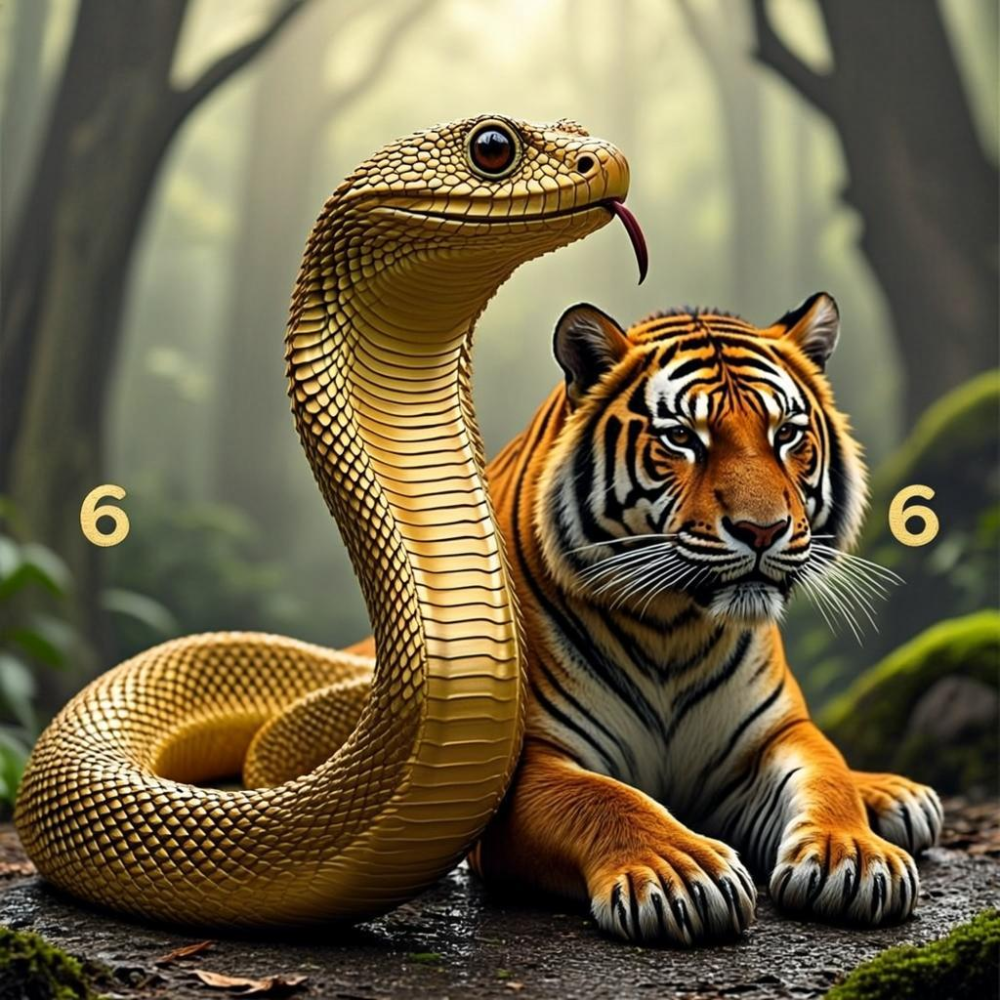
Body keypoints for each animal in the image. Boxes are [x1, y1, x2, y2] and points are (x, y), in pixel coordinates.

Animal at [458, 291, 944, 945]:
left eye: (787, 434)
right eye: (682, 438)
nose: (763, 530)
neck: (673, 627)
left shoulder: (771, 736)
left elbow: (828, 776)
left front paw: (854, 856)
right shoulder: (526, 766)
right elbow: (603, 798)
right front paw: (679, 873)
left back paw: (897, 797)